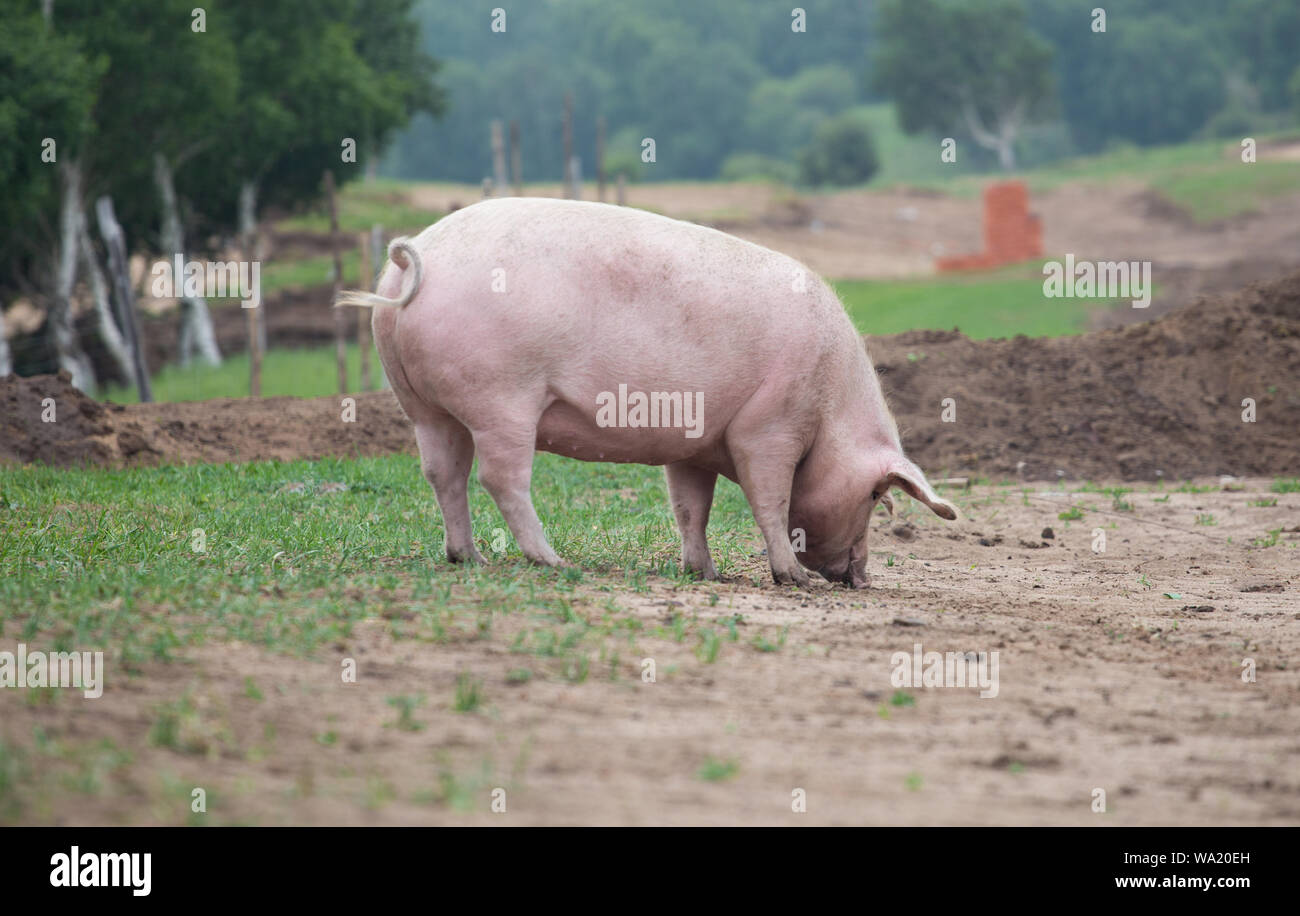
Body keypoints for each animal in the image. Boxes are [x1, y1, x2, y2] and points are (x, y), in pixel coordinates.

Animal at [338, 197, 956, 589]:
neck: (831, 410)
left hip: (423, 406)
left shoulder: (694, 446)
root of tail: (414, 255)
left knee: (443, 473)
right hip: (502, 397)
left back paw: (469, 559)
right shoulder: (768, 425)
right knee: (500, 478)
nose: (861, 579)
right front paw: (795, 580)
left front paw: (703, 573)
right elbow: (771, 502)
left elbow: (690, 508)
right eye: (875, 496)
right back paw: (554, 562)